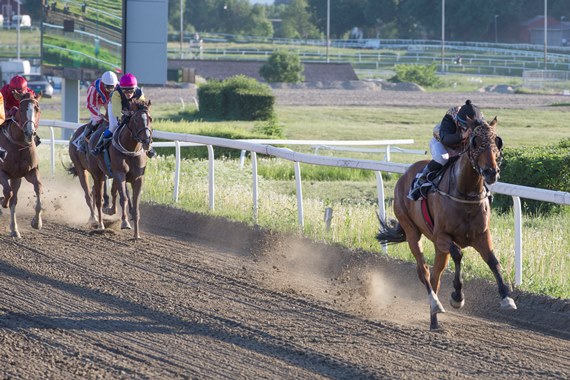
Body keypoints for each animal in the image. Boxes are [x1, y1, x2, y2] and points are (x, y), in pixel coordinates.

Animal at [0, 92, 43, 238]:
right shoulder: (2, 173)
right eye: (21, 108)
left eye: (37, 108)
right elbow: (8, 192)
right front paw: (3, 201)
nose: (30, 133)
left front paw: (36, 222)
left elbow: (38, 188)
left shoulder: (27, 172)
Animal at [85, 99, 150, 239]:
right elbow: (124, 198)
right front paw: (125, 222)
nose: (147, 140)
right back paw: (101, 224)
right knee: (98, 198)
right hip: (98, 174)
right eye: (136, 120)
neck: (130, 149)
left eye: (150, 119)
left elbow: (135, 204)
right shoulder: (120, 174)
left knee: (113, 192)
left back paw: (109, 210)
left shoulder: (138, 178)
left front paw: (136, 235)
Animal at [374, 118, 512, 330]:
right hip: (412, 232)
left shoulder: (482, 236)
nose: (491, 172)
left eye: (497, 142)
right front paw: (457, 296)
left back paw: (434, 321)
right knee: (424, 271)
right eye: (475, 142)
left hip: (439, 248)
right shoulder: (442, 236)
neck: (465, 194)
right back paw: (435, 304)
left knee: (435, 276)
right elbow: (459, 254)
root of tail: (404, 176)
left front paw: (506, 297)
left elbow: (494, 262)